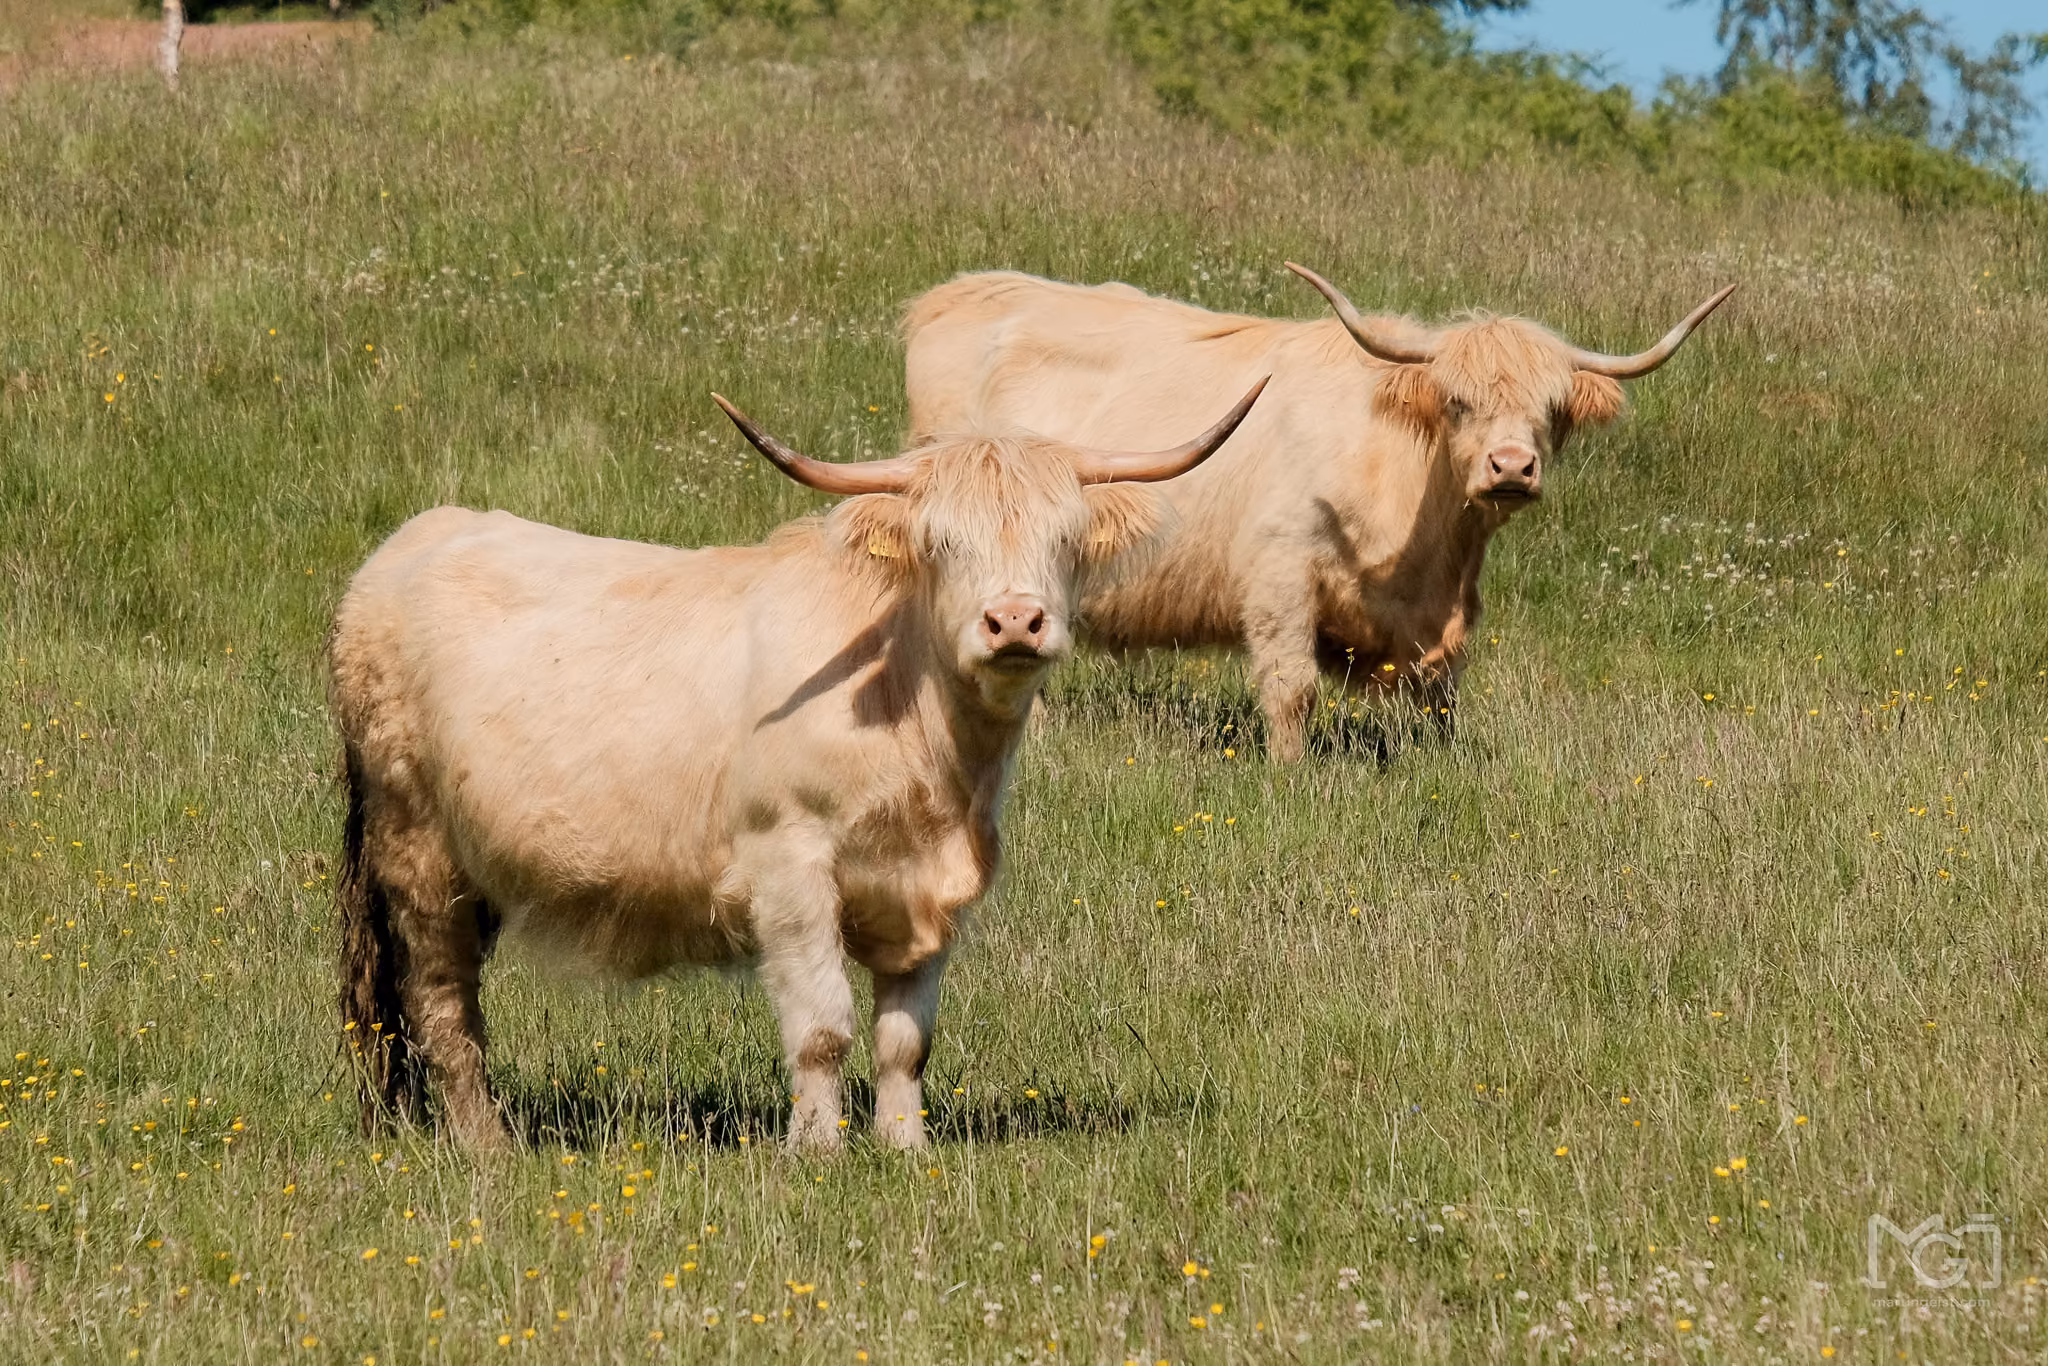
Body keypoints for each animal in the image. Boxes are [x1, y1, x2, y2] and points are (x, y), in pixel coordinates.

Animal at [326, 381, 1266, 1152]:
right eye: (941, 542)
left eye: (1066, 539)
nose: (1014, 622)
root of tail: (409, 542)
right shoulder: (789, 866)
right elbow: (822, 1026)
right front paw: (817, 1150)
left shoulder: (931, 890)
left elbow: (904, 1040)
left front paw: (904, 1149)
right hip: (417, 847)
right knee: (440, 999)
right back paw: (486, 1145)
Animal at [903, 264, 1733, 761]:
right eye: (1457, 401)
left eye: (1552, 411)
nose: (1510, 469)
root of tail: (961, 294)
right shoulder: (1281, 575)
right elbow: (1291, 688)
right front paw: (1290, 776)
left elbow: (1442, 698)